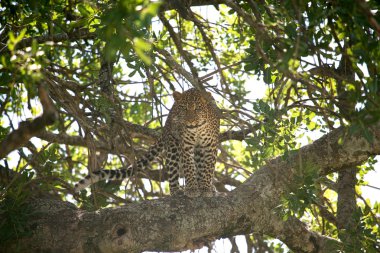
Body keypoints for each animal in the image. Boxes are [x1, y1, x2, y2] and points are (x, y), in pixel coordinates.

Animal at [73, 88, 220, 198]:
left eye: (197, 109)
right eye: (184, 108)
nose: (190, 121)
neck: (198, 128)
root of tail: (166, 124)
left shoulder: (210, 145)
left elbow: (208, 168)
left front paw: (206, 188)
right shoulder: (186, 145)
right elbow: (189, 168)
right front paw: (192, 189)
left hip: (198, 149)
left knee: (200, 164)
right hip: (173, 144)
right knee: (173, 170)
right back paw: (177, 192)